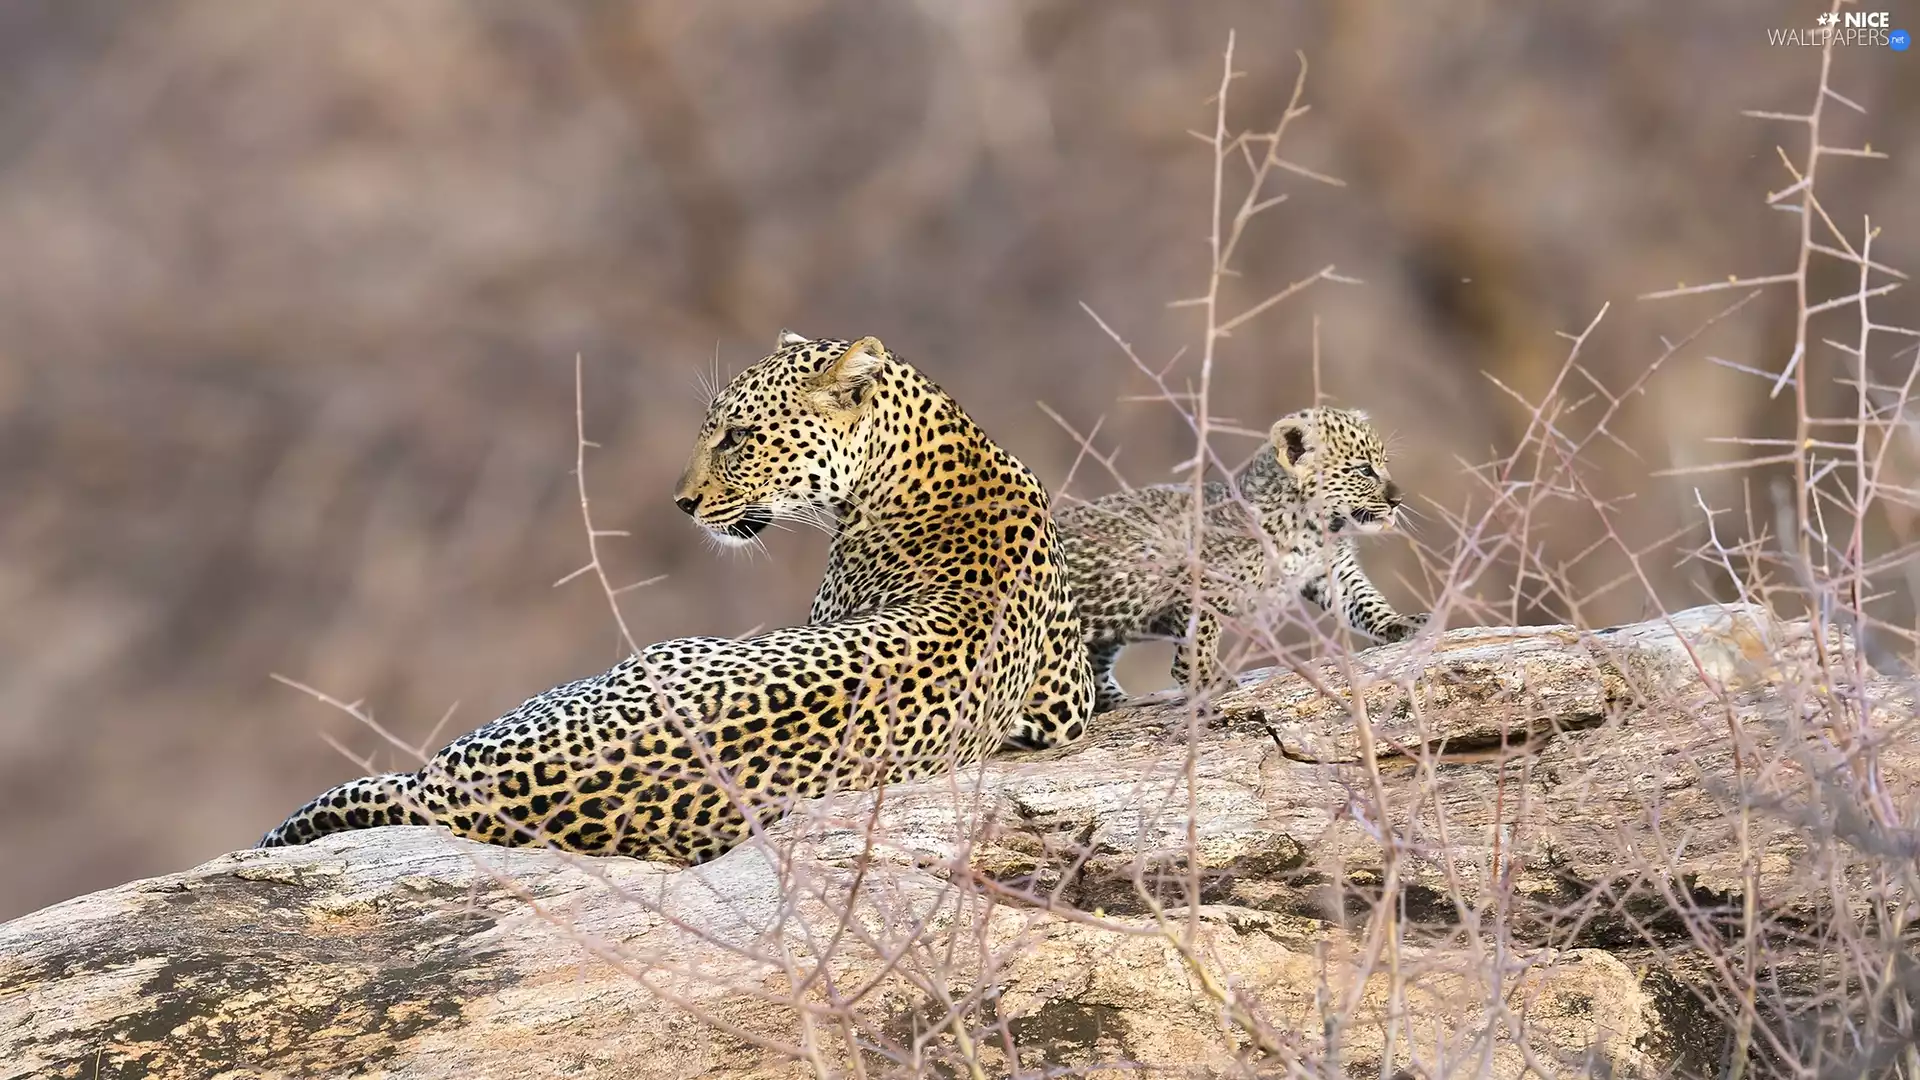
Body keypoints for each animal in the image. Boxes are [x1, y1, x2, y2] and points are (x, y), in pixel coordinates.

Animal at [258, 332, 1096, 861]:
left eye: (738, 437)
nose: (681, 503)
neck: (941, 446)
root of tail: (460, 796)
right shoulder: (1065, 704)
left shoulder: (1069, 700)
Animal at [1056, 406, 1427, 713]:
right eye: (1364, 470)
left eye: (1384, 465)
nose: (1398, 499)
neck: (1311, 524)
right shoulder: (1205, 584)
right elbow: (1199, 639)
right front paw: (1205, 679)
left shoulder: (1333, 570)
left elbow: (1366, 600)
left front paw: (1399, 623)